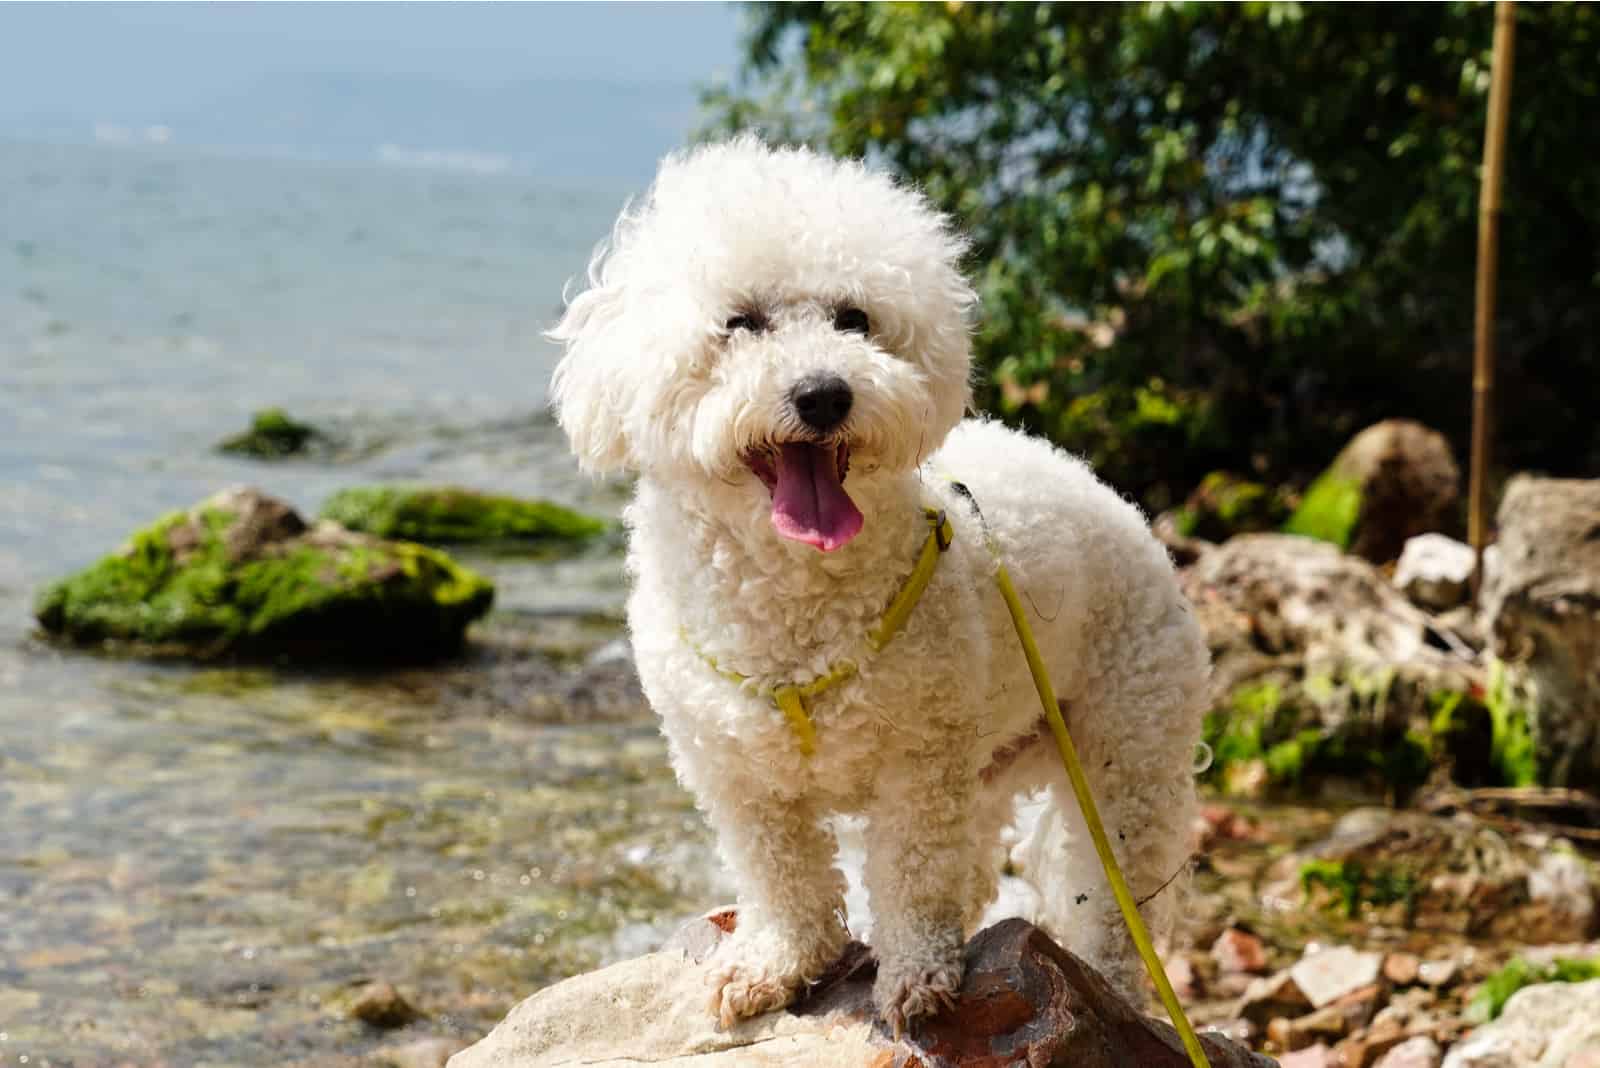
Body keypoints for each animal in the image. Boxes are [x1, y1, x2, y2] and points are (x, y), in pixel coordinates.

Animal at [553, 135, 1209, 1036]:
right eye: (741, 322)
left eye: (855, 320)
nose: (824, 393)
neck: (795, 601)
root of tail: (1132, 513)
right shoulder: (735, 772)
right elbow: (781, 877)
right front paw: (775, 964)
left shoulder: (919, 766)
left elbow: (911, 873)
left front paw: (916, 976)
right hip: (992, 757)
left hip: (1125, 745)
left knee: (1109, 889)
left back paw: (1109, 982)